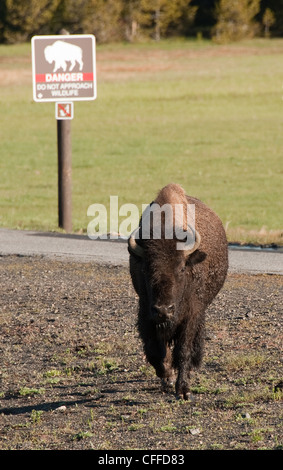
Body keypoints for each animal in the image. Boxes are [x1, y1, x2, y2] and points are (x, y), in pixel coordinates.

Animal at [129, 184, 229, 400]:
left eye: (182, 268)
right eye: (145, 269)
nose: (163, 310)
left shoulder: (191, 315)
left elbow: (183, 350)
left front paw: (183, 390)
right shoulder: (146, 313)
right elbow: (155, 350)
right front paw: (166, 375)